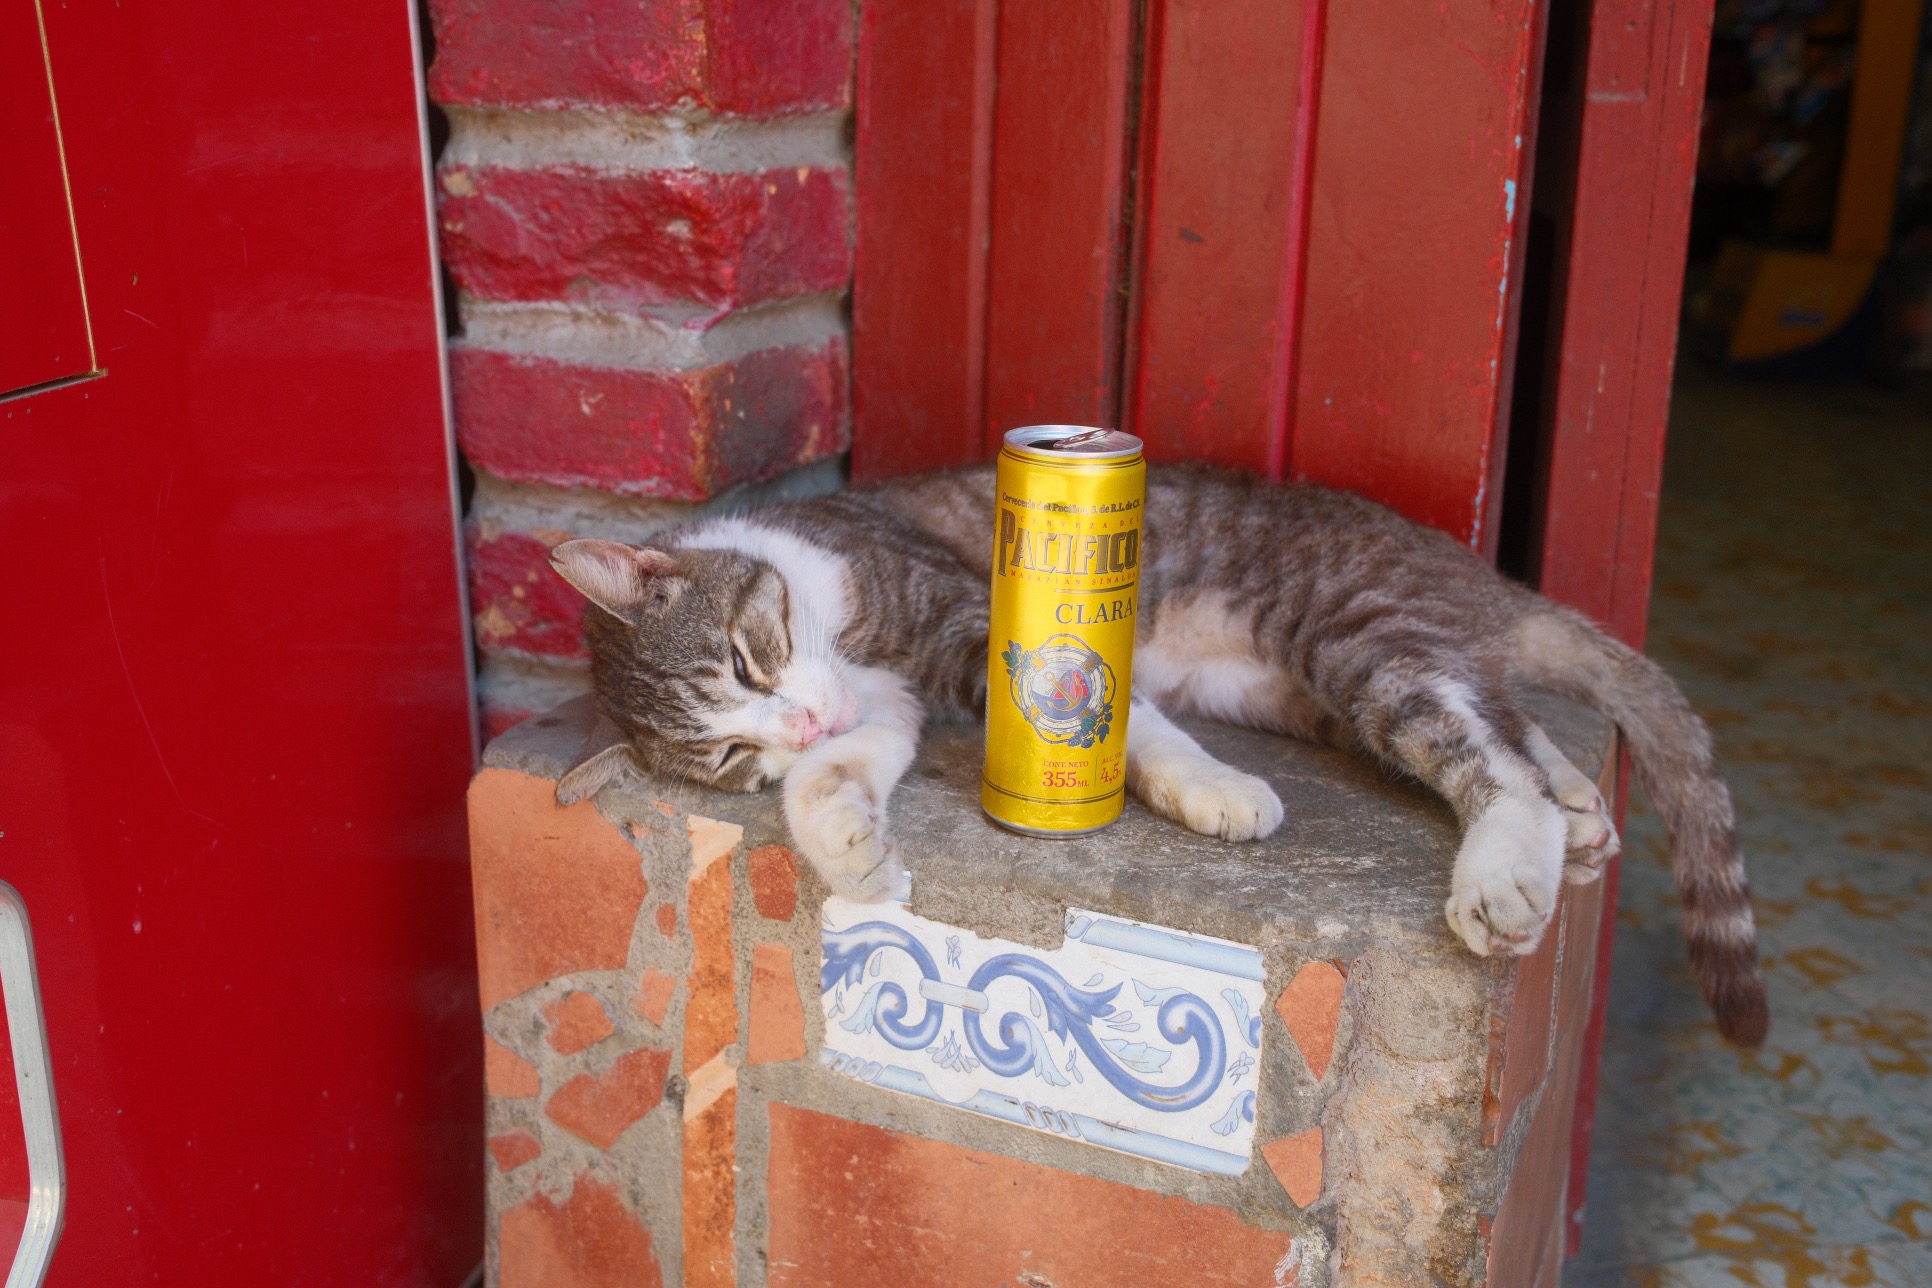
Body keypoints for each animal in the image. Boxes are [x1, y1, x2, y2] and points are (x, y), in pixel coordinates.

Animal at [544, 463, 1769, 1050]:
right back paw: (1575, 807)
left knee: (1480, 743)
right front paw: (851, 845)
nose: (793, 724)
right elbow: (837, 776)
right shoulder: (883, 704)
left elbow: (1127, 725)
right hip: (1312, 689)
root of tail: (1474, 574)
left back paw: (1509, 860)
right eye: (728, 759)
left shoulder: (973, 622)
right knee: (1502, 714)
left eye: (746, 658)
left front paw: (1212, 789)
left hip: (1357, 637)